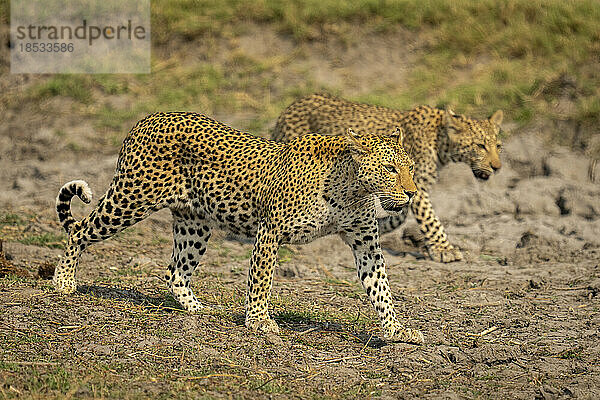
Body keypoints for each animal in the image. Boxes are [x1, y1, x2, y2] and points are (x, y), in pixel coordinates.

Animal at [54, 112, 424, 344]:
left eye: (409, 167)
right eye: (391, 169)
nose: (411, 192)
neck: (352, 189)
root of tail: (145, 120)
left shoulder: (366, 242)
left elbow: (380, 288)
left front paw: (397, 330)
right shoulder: (271, 230)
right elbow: (261, 279)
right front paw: (259, 321)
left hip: (194, 223)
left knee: (175, 271)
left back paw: (198, 310)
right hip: (131, 200)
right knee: (80, 230)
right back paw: (63, 283)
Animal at [270, 93, 502, 262]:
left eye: (498, 146)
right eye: (480, 146)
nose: (497, 167)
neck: (441, 141)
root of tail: (287, 109)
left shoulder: (408, 186)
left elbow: (400, 215)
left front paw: (379, 226)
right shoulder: (417, 188)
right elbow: (430, 219)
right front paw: (444, 249)